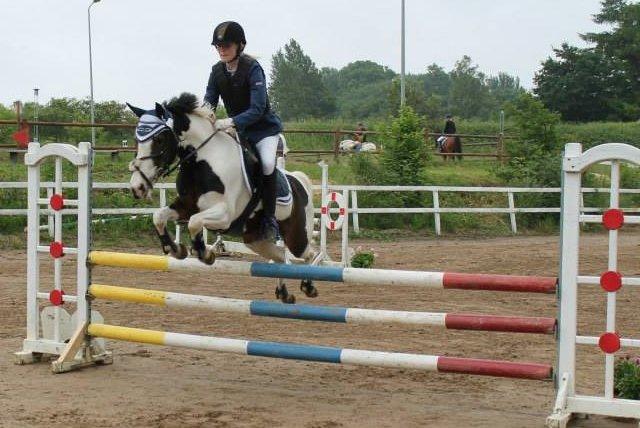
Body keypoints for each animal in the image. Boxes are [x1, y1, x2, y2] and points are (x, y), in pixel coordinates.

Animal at [127, 93, 318, 303]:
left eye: (159, 139)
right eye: (136, 139)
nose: (137, 187)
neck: (202, 162)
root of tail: (299, 182)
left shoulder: (224, 214)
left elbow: (194, 223)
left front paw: (203, 252)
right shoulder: (185, 206)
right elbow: (159, 216)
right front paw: (175, 249)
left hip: (296, 236)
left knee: (308, 253)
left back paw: (309, 286)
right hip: (254, 239)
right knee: (280, 256)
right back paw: (284, 293)